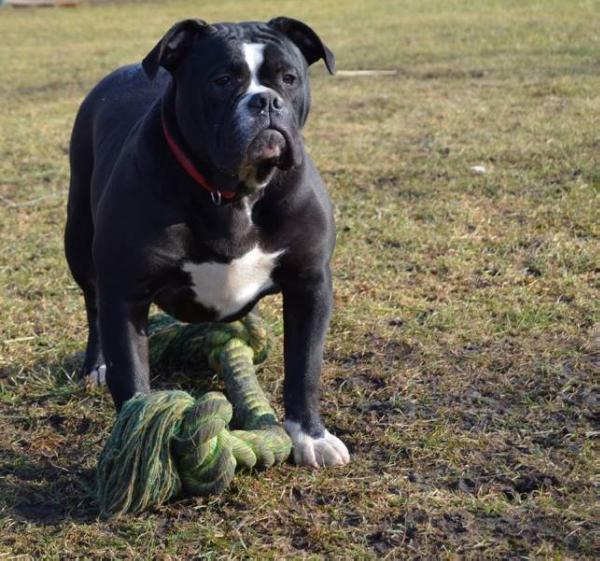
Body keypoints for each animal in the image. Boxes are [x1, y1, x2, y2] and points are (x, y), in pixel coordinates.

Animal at [63, 17, 350, 466]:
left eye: (288, 78)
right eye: (222, 80)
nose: (266, 102)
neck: (234, 193)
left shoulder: (310, 284)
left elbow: (305, 366)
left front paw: (311, 437)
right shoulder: (125, 292)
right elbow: (131, 376)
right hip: (78, 241)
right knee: (92, 306)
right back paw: (97, 366)